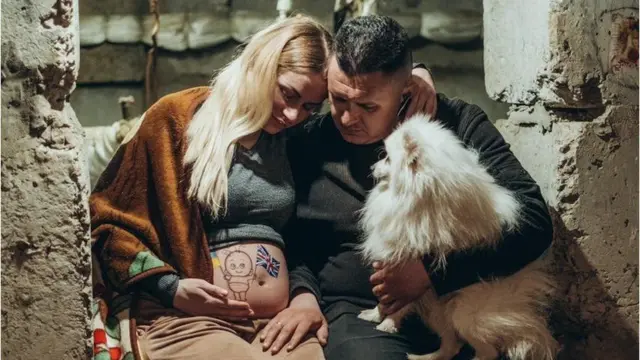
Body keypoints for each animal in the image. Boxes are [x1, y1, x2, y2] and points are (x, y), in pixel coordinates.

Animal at [358, 114, 556, 360]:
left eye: (386, 157)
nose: (371, 166)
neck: (416, 193)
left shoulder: (405, 267)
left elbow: (398, 302)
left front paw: (387, 324)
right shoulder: (393, 256)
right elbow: (385, 302)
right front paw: (375, 315)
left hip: (464, 314)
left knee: (487, 351)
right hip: (442, 311)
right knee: (451, 345)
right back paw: (425, 357)